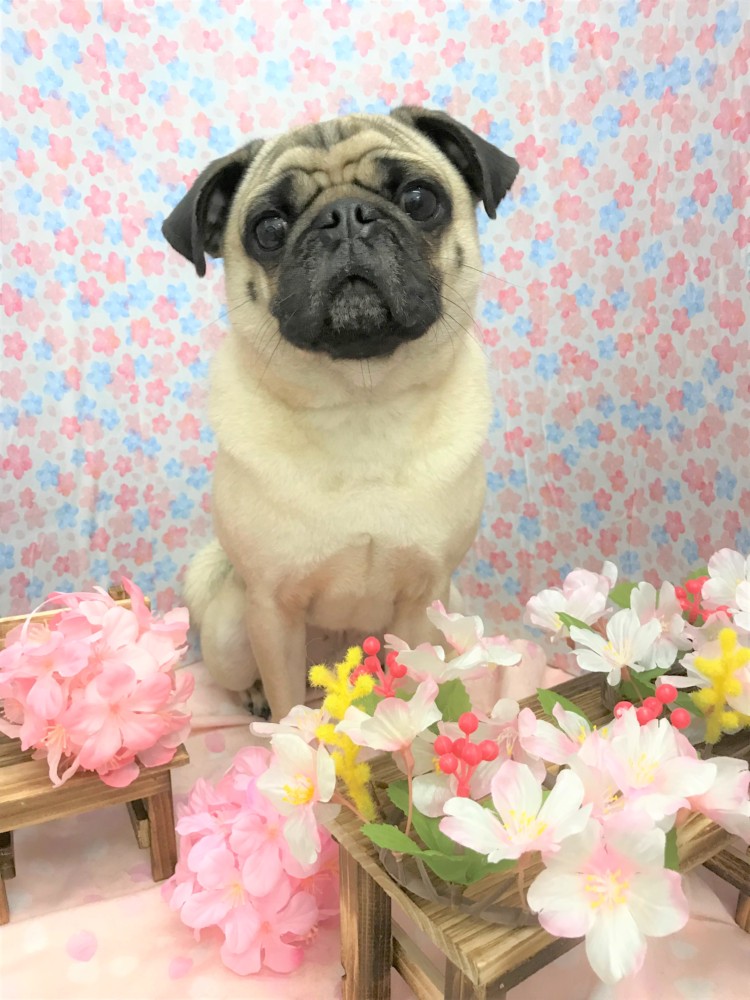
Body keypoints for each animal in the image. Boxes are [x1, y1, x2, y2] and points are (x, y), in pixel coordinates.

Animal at [162, 106, 519, 720]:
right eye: (269, 229)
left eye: (420, 199)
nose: (345, 217)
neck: (362, 400)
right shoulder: (272, 610)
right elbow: (289, 705)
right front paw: (289, 729)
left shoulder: (424, 597)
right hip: (230, 632)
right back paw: (253, 696)